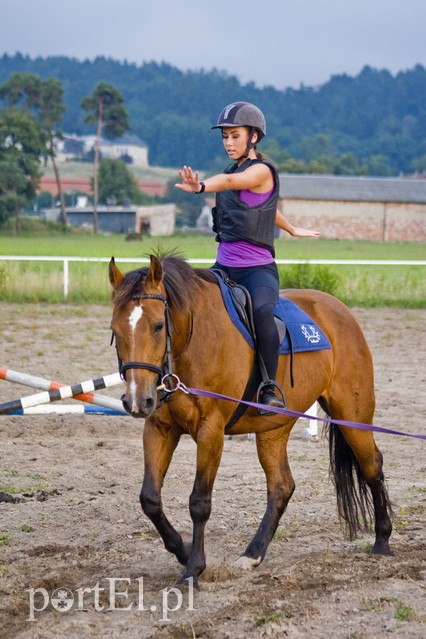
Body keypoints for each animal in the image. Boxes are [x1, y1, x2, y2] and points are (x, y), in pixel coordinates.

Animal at [109, 252, 392, 588]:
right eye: (115, 330)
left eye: (158, 325)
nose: (138, 401)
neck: (193, 339)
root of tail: (338, 309)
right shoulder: (160, 428)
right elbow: (150, 499)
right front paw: (182, 550)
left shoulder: (211, 431)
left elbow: (199, 502)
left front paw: (193, 570)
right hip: (274, 429)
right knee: (282, 486)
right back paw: (252, 555)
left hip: (352, 416)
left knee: (372, 466)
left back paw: (383, 541)